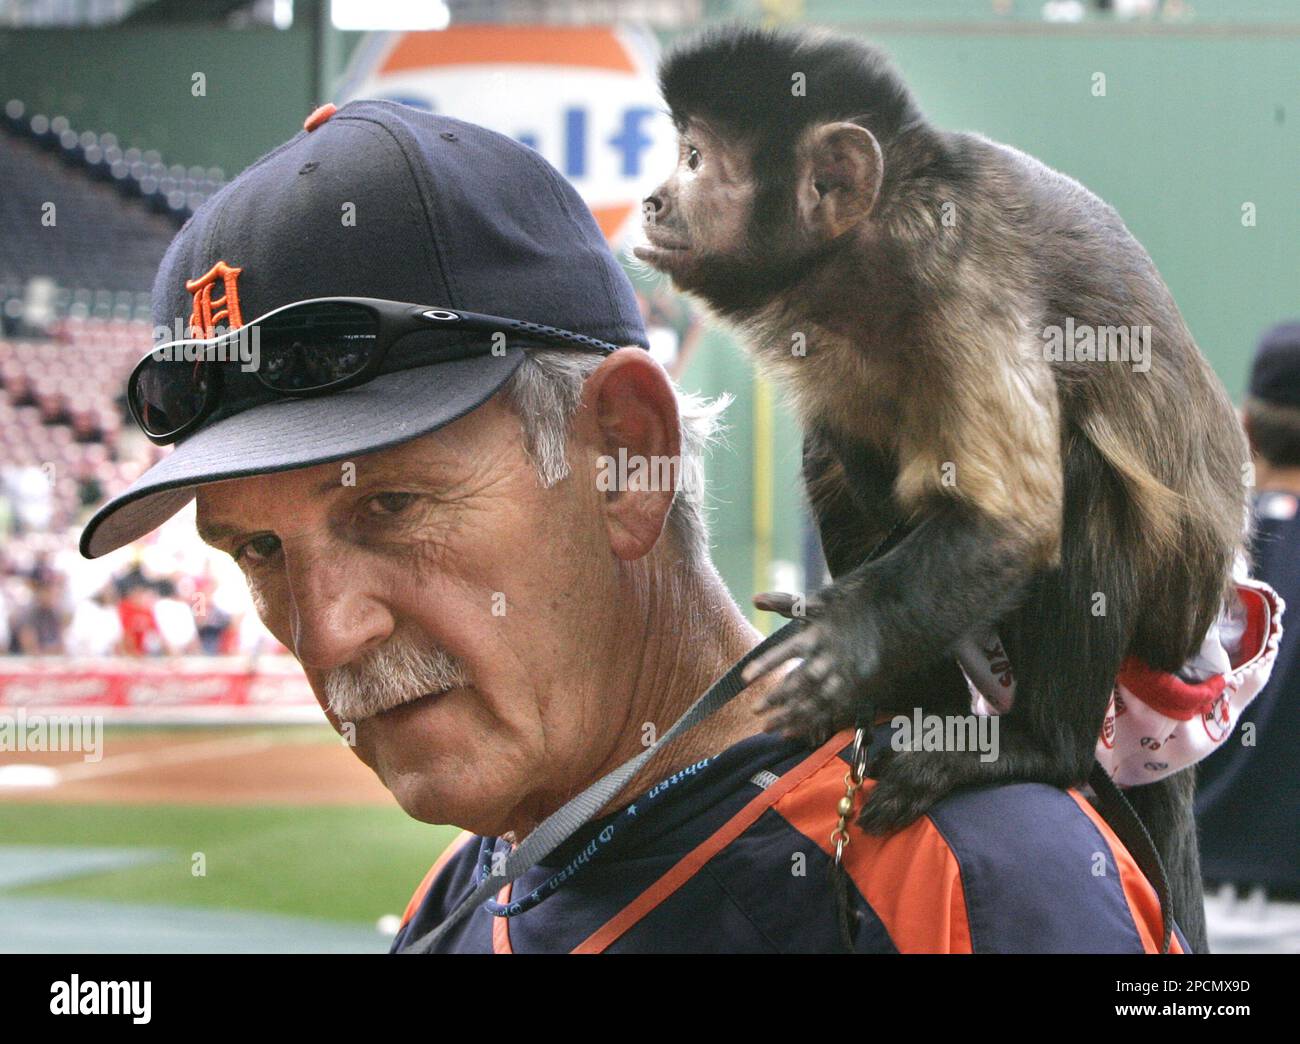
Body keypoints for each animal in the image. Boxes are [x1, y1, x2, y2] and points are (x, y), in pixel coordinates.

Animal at [634, 23, 1251, 953]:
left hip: (1168, 614)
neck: (872, 247)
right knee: (835, 454)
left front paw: (843, 640)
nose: (651, 200)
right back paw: (907, 701)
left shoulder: (961, 286)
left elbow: (1013, 521)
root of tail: (1197, 638)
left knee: (1085, 479)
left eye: (697, 159)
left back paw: (1039, 747)